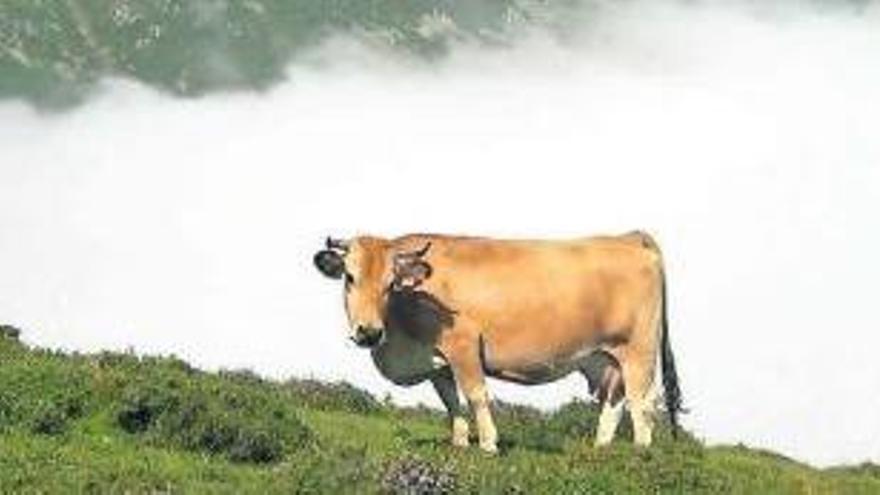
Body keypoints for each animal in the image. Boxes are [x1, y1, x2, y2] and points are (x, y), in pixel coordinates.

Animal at [312, 232, 684, 454]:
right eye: (349, 277)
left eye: (390, 284)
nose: (369, 332)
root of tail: (630, 237)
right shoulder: (437, 362)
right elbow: (451, 401)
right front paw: (460, 442)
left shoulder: (464, 345)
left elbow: (476, 395)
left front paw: (489, 444)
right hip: (607, 358)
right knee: (614, 402)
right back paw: (602, 451)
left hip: (639, 353)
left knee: (642, 403)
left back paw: (640, 453)